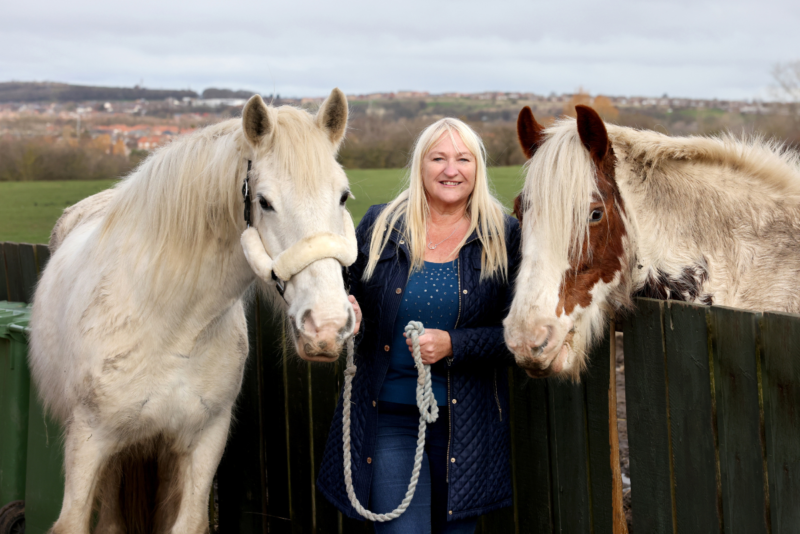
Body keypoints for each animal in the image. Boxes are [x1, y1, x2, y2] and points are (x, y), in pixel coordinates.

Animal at [30, 90, 356, 532]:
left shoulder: (205, 442)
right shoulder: (88, 442)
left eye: (342, 196)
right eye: (265, 202)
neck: (172, 326)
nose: (326, 325)